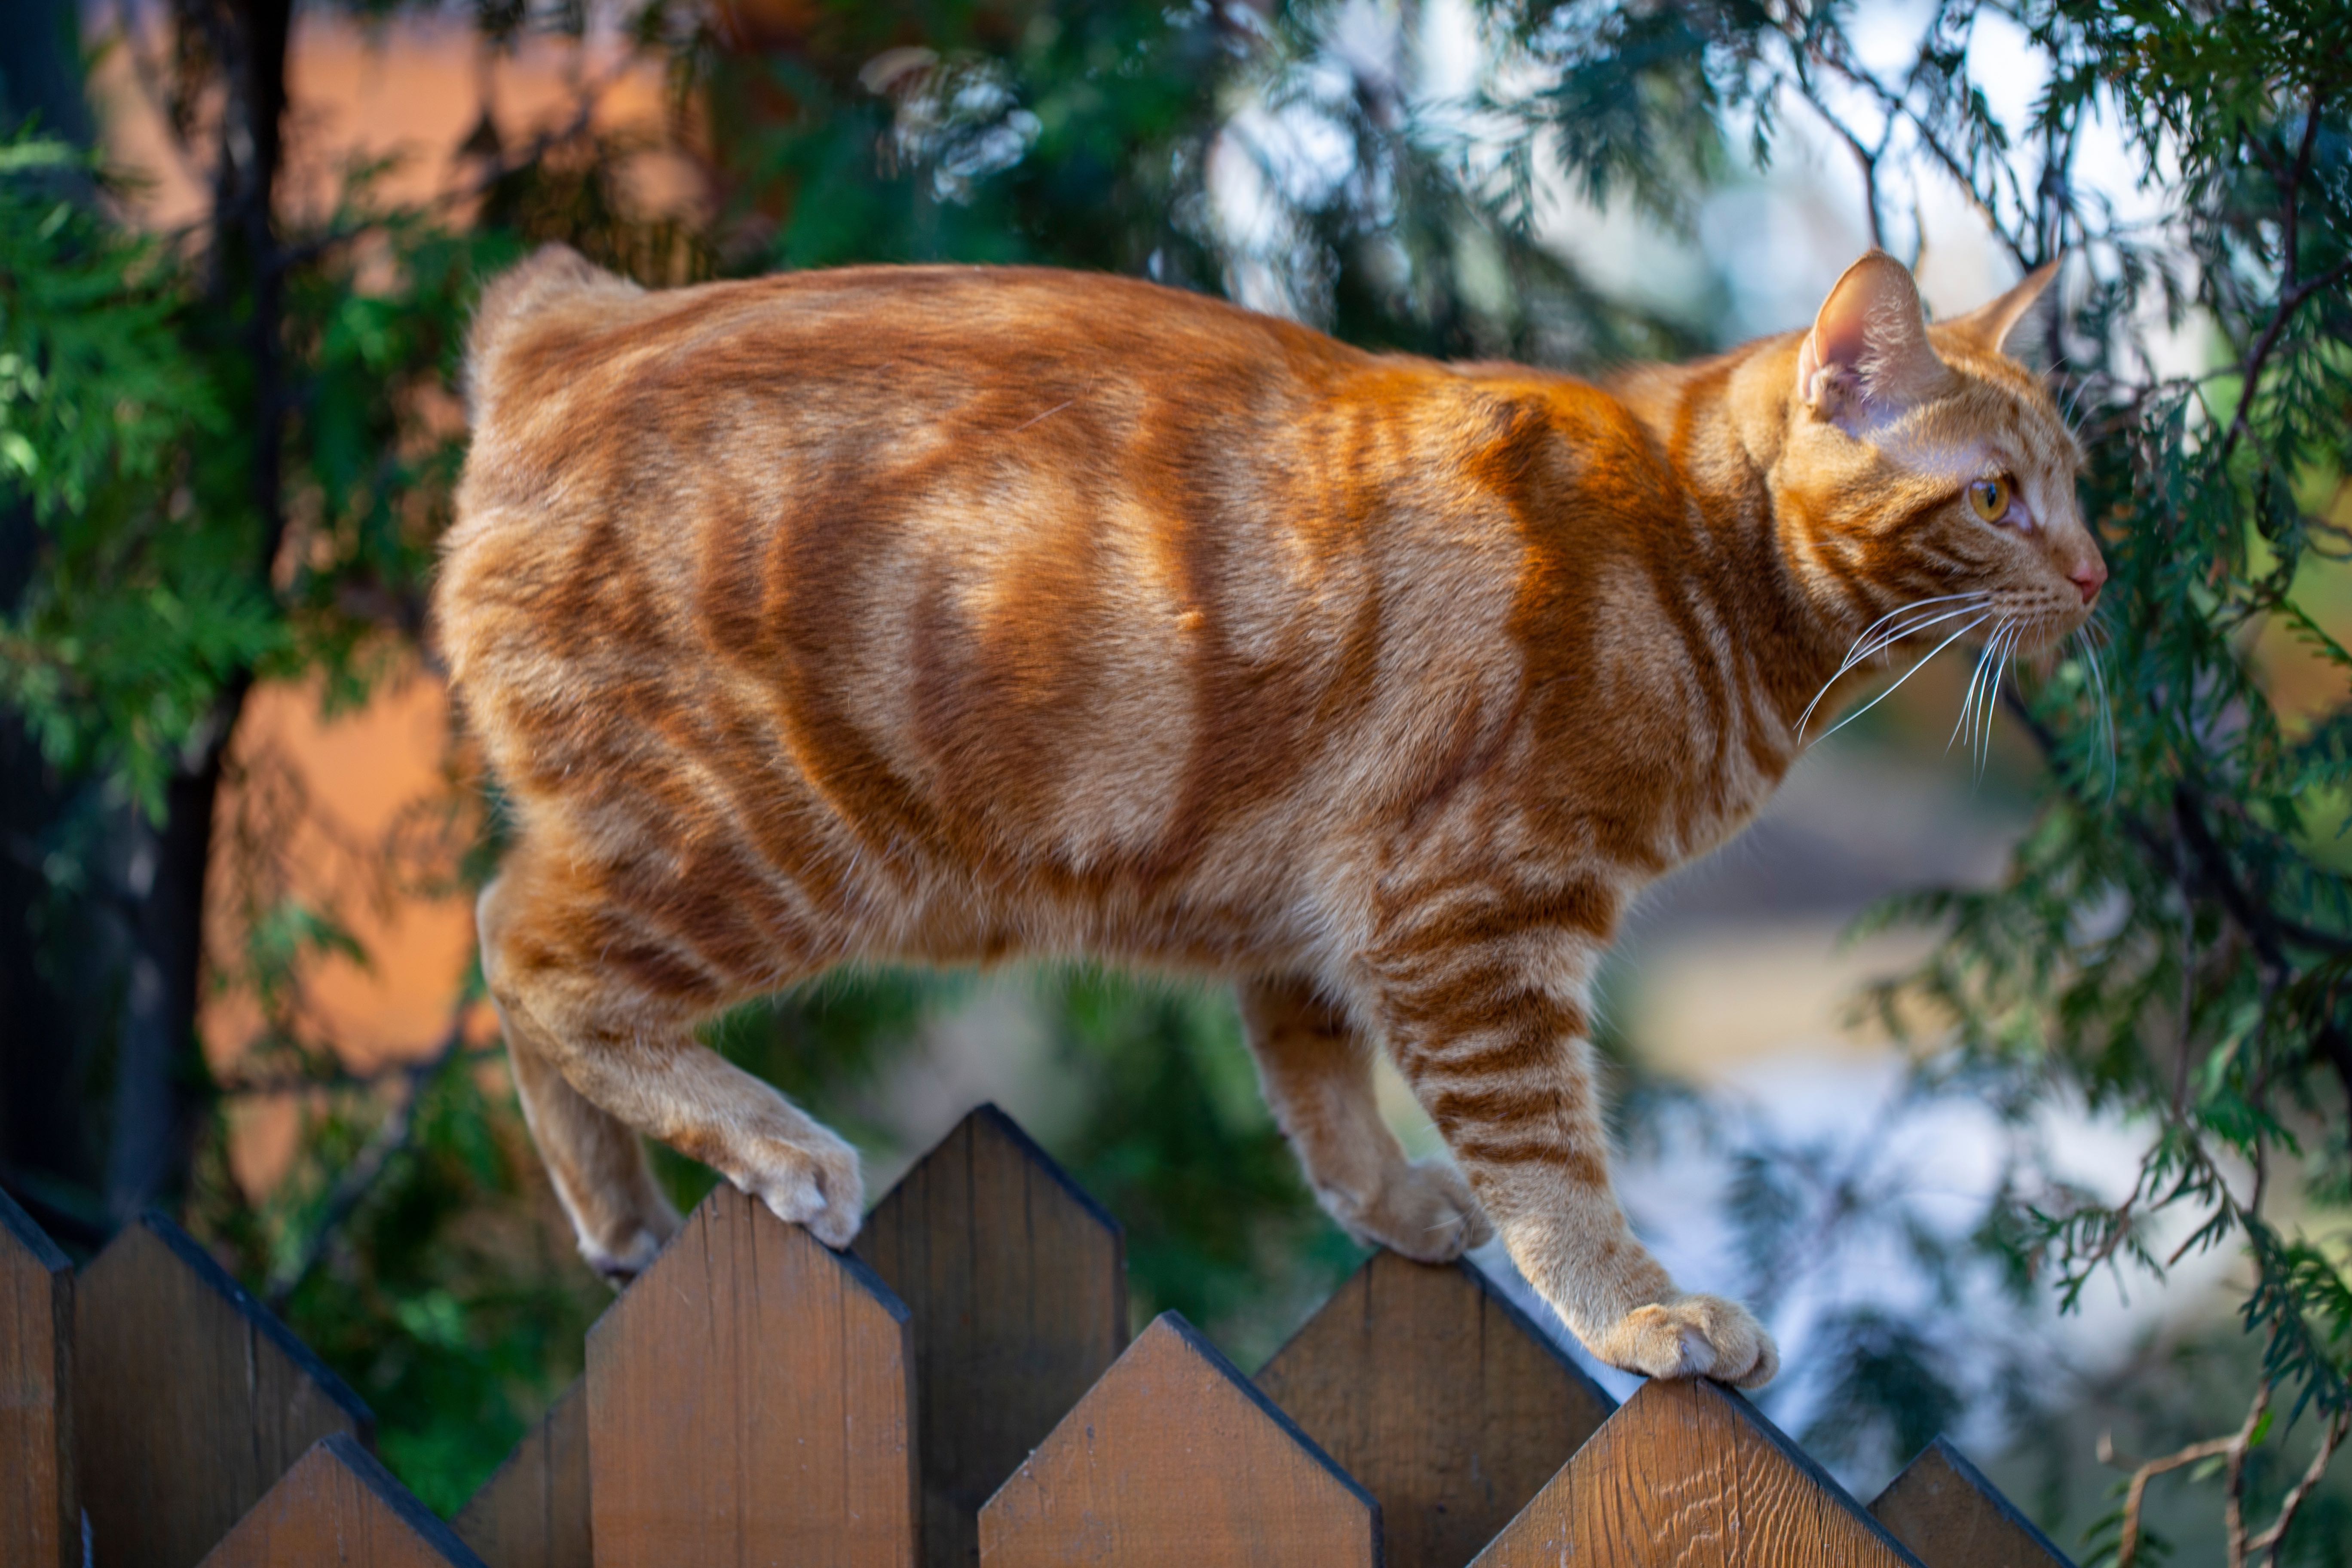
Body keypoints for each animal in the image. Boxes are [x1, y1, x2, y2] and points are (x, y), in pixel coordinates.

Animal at [437, 245, 2098, 1382]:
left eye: (2076, 488)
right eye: (1996, 498)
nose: (2095, 572)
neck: (1701, 558)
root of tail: (573, 323)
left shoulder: (1326, 921)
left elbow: (1321, 1088)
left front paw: (1390, 1203)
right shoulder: (1474, 921)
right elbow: (1552, 1159)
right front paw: (1637, 1306)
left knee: (512, 943)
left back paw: (626, 1219)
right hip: (771, 840)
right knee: (533, 955)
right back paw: (774, 1147)